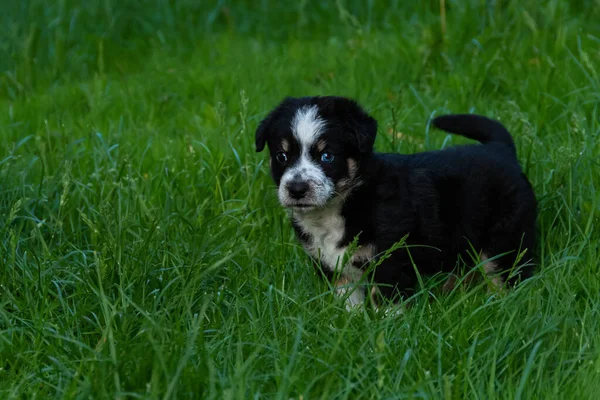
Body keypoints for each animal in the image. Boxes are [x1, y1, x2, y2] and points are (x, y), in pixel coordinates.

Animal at [255, 95, 536, 308]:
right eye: (281, 156)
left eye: (327, 156)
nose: (297, 189)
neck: (343, 205)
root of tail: (501, 149)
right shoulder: (334, 268)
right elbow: (350, 304)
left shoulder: (391, 261)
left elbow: (387, 304)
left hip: (505, 241)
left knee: (507, 275)